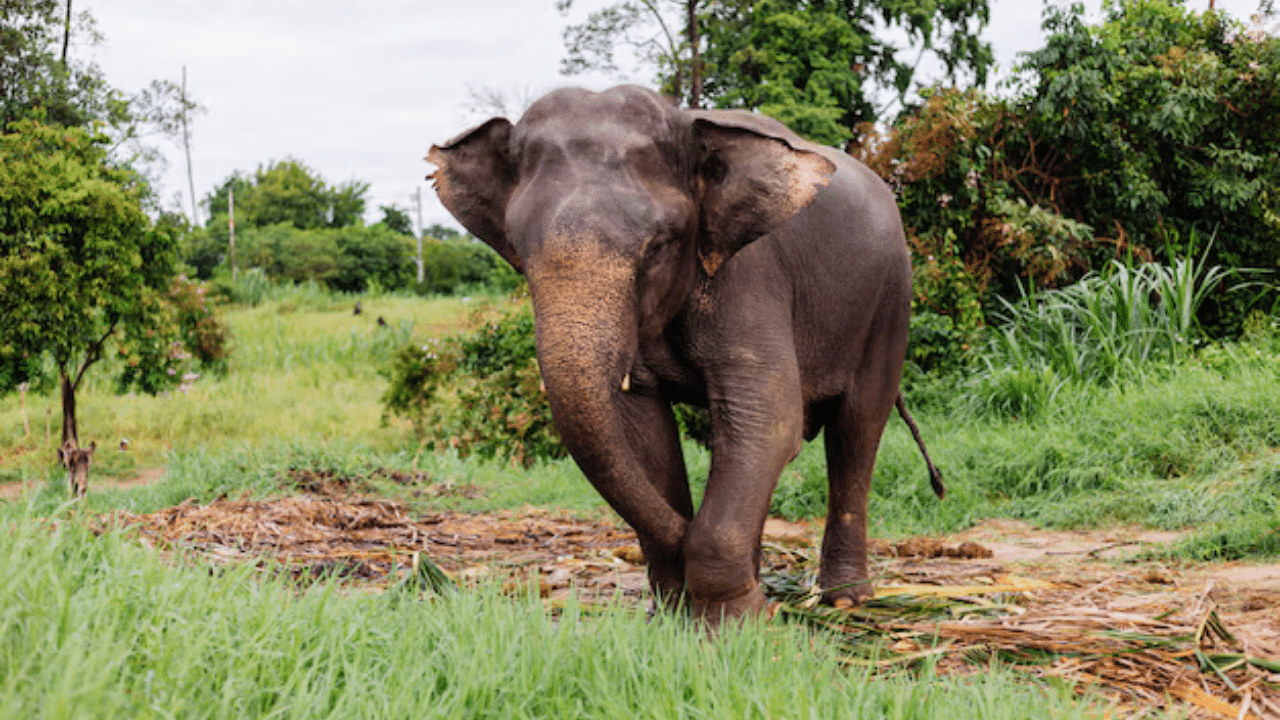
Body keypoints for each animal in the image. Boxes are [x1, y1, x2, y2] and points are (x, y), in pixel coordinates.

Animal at [430, 83, 942, 620]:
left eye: (658, 246)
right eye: (519, 250)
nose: (686, 534)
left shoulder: (749, 273)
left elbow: (768, 419)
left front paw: (741, 620)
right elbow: (643, 430)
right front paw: (678, 615)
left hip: (891, 300)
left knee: (856, 430)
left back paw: (845, 599)